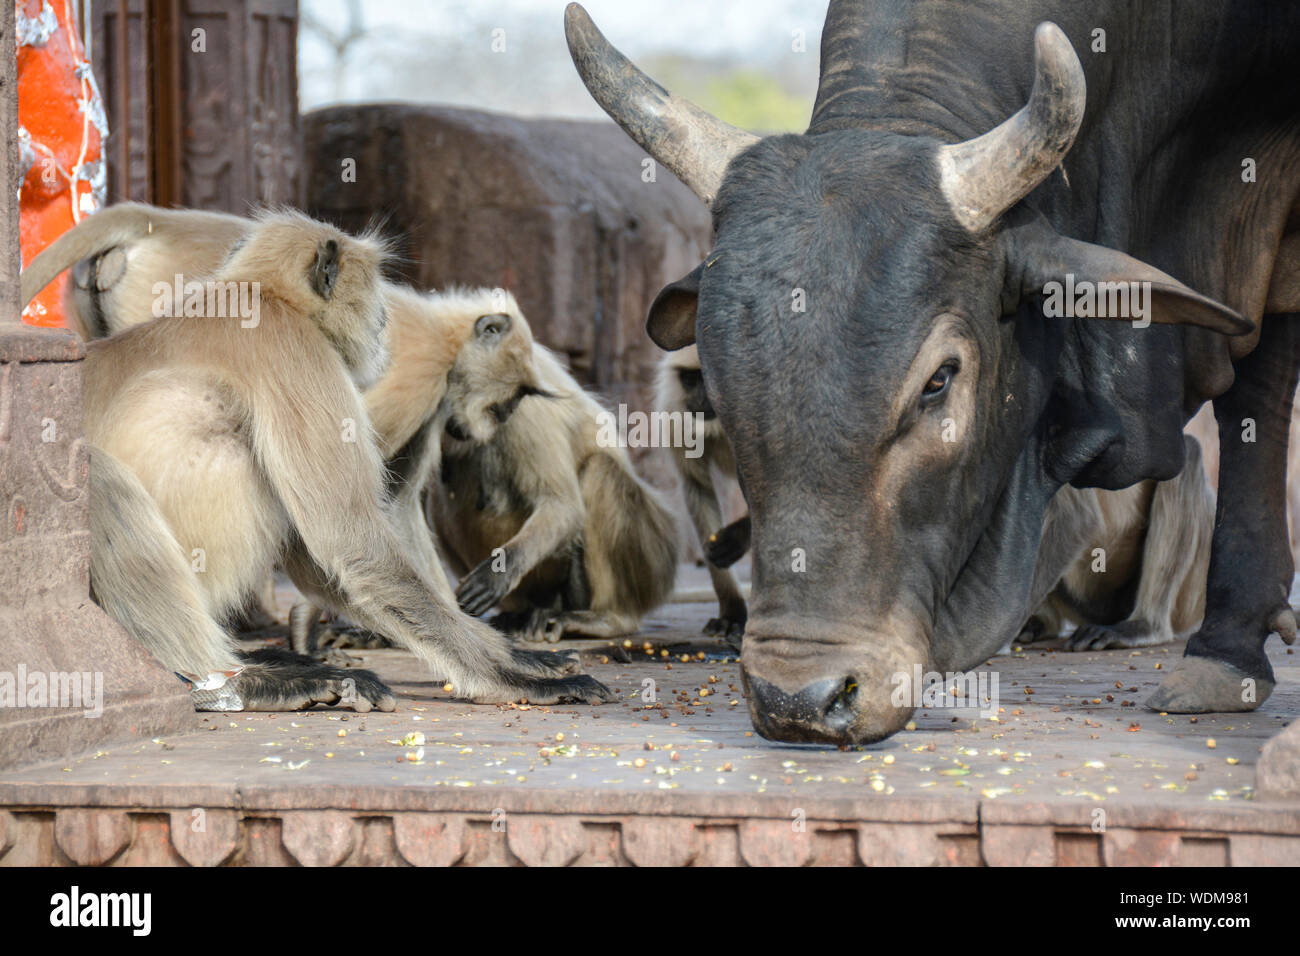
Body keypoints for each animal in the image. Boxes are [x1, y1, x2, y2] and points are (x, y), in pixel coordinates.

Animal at [28, 208, 612, 709]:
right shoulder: (310, 353)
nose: (381, 321)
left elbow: (334, 546)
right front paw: (514, 680)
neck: (254, 295)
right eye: (505, 404)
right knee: (106, 479)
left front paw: (519, 657)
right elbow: (350, 537)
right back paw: (243, 682)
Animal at [432, 335, 682, 643]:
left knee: (600, 469)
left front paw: (498, 572)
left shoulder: (522, 401)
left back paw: (611, 618)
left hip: (655, 557)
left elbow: (564, 506)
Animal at [655, 345, 748, 647]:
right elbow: (697, 486)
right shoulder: (675, 408)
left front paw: (737, 538)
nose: (699, 398)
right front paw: (732, 613)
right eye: (691, 379)